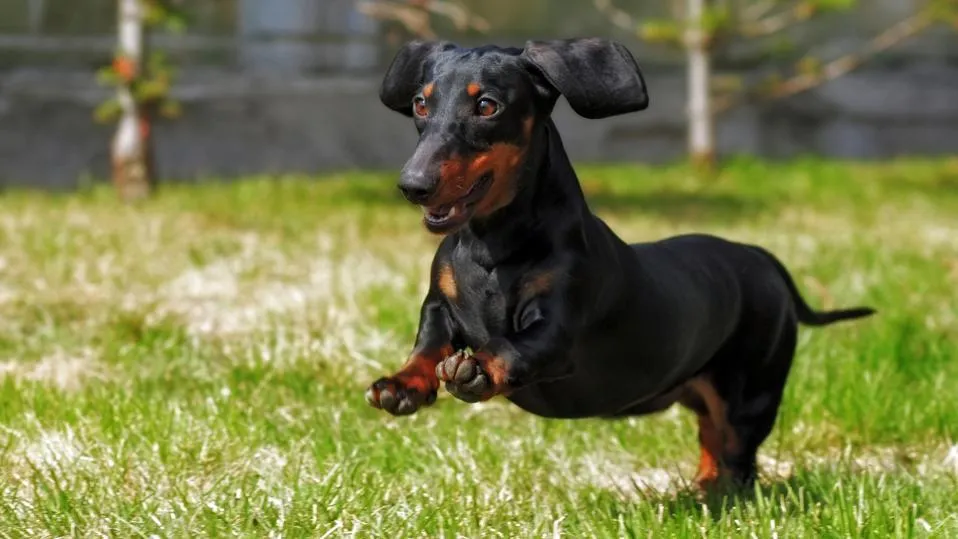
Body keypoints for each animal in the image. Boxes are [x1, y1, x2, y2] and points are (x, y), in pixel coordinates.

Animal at [364, 38, 872, 492]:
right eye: (420, 104)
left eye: (487, 106)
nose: (413, 186)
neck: (491, 250)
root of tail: (759, 257)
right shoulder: (438, 304)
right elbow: (429, 343)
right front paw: (402, 385)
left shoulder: (558, 328)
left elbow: (515, 347)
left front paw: (478, 370)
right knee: (712, 440)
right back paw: (703, 490)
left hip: (751, 391)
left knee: (739, 455)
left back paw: (721, 499)